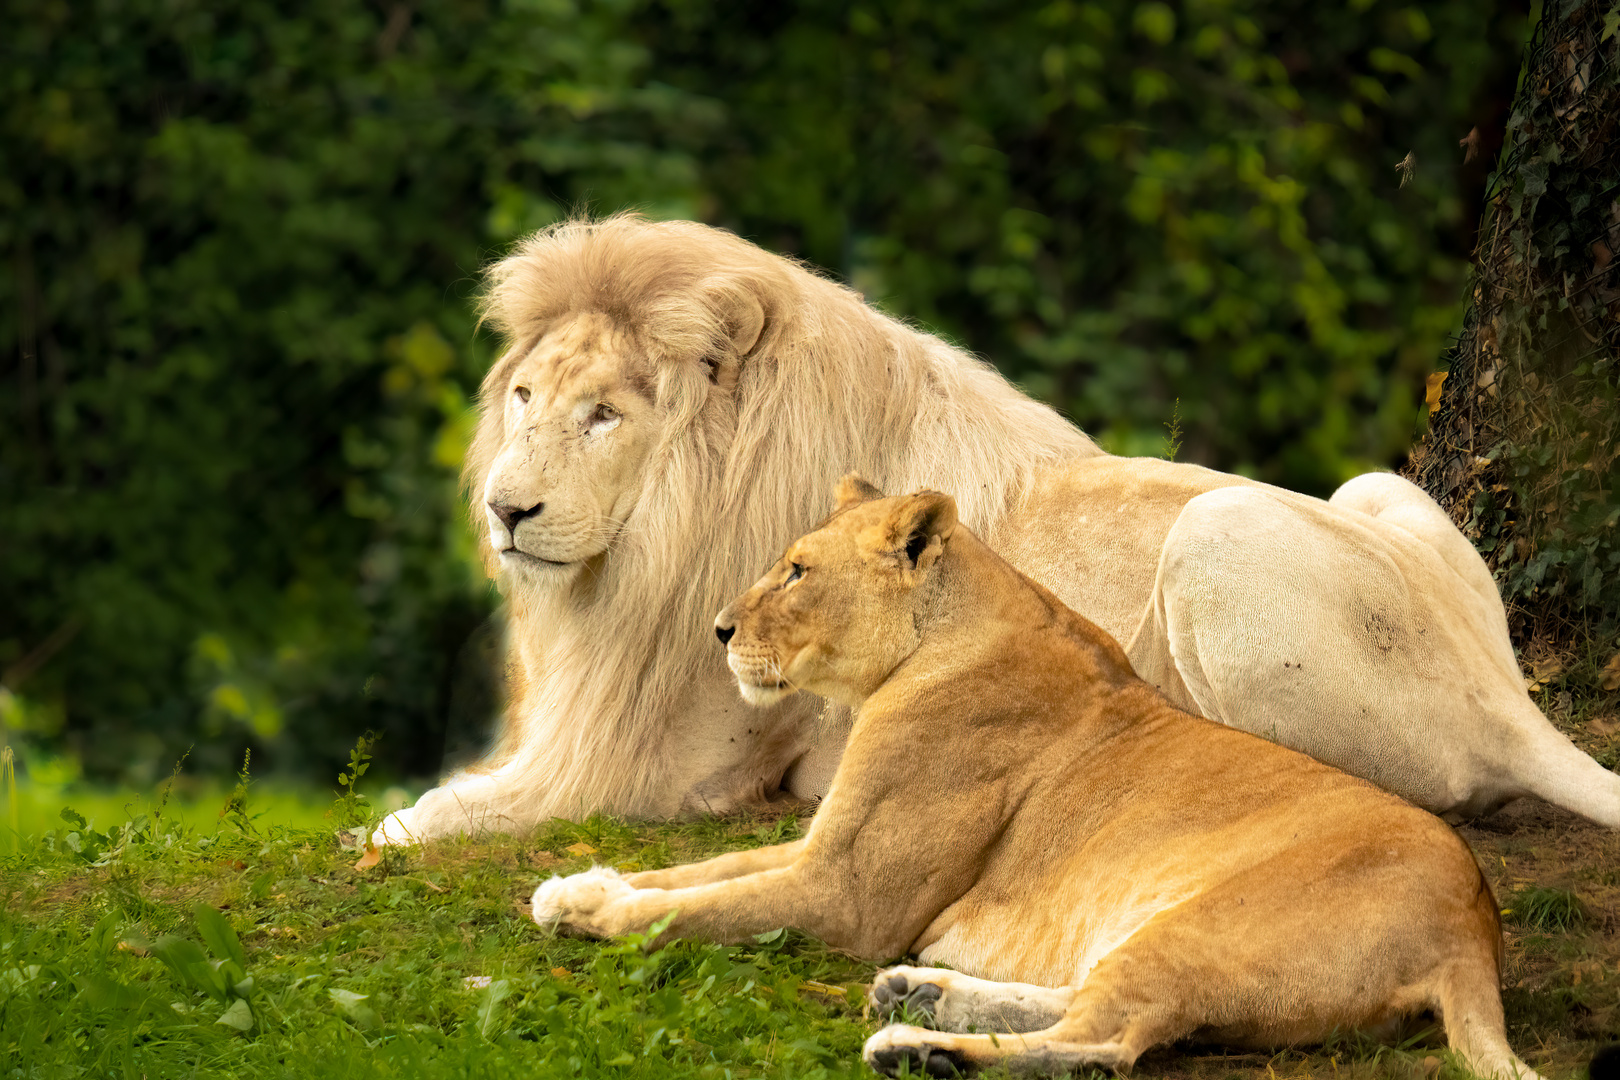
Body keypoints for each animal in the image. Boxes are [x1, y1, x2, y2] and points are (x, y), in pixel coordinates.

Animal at [372, 215, 1613, 841]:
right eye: (524, 398)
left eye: (604, 415)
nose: (505, 510)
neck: (639, 552)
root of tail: (1509, 700)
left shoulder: (665, 761)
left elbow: (436, 816)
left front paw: (393, 825)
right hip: (1375, 490)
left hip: (1216, 531)